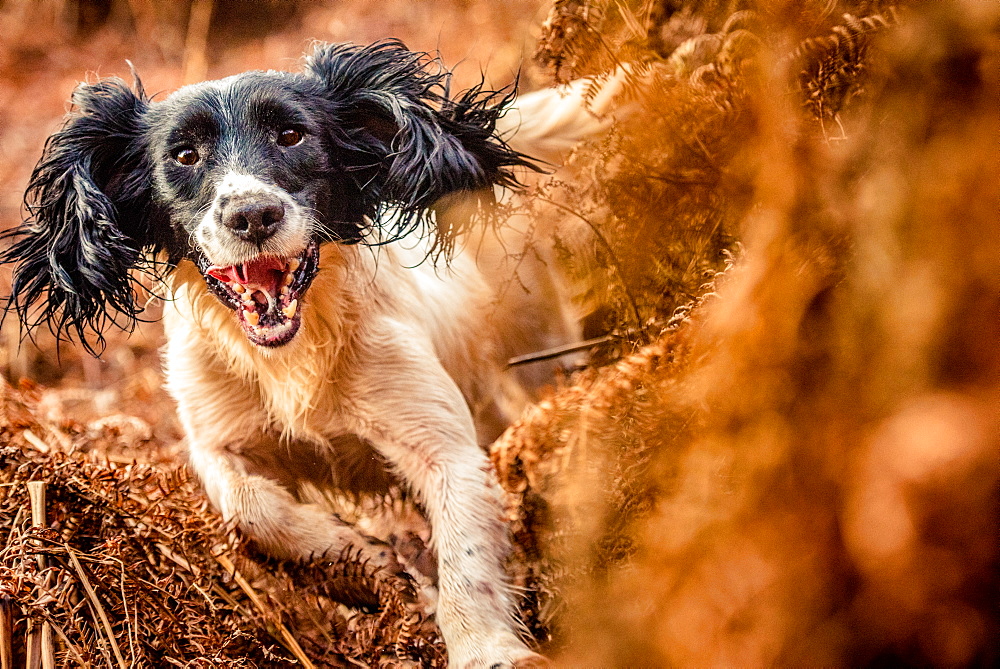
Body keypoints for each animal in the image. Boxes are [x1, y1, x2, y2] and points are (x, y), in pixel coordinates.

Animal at [0, 40, 612, 664]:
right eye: (185, 154)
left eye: (291, 135)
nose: (251, 215)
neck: (294, 351)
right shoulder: (216, 442)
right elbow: (252, 510)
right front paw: (363, 565)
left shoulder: (443, 447)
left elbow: (468, 566)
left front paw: (487, 651)